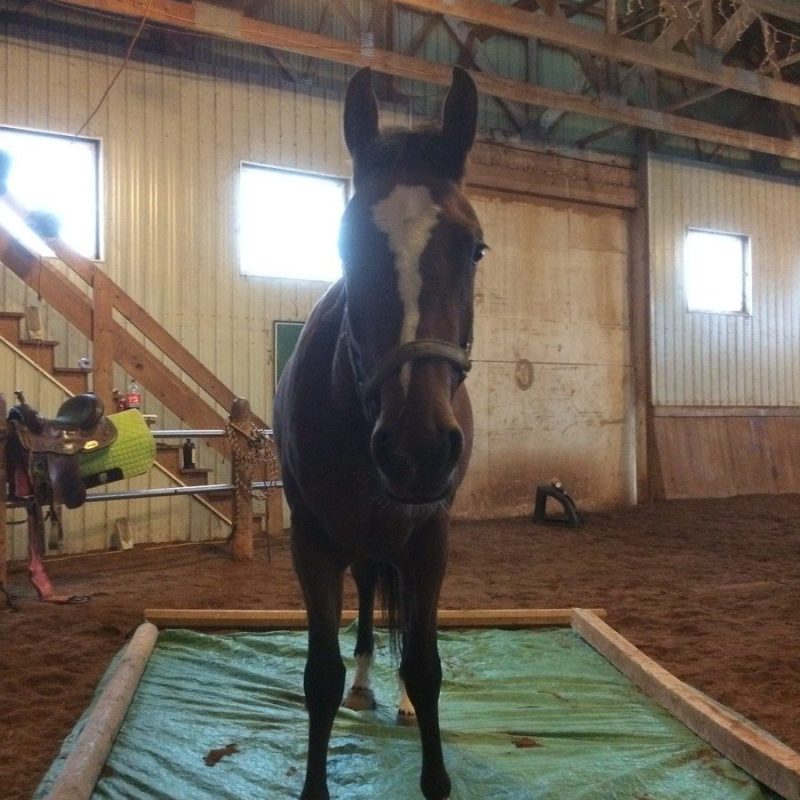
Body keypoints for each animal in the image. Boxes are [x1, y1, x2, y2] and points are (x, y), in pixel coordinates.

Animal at [273, 66, 485, 800]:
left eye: (474, 248)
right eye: (347, 244)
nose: (417, 450)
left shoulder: (430, 541)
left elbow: (425, 666)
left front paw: (435, 774)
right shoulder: (312, 544)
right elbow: (320, 677)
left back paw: (393, 696)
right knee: (366, 599)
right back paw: (368, 683)